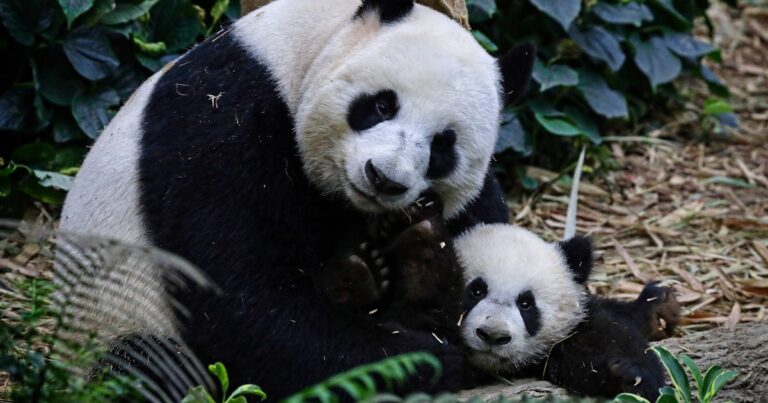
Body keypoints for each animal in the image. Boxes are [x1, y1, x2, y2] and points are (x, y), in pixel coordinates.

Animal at [58, 0, 536, 398]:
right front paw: (421, 361)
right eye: (381, 105)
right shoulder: (218, 120)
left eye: (443, 145)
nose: (384, 179)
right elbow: (242, 292)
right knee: (145, 365)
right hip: (118, 314)